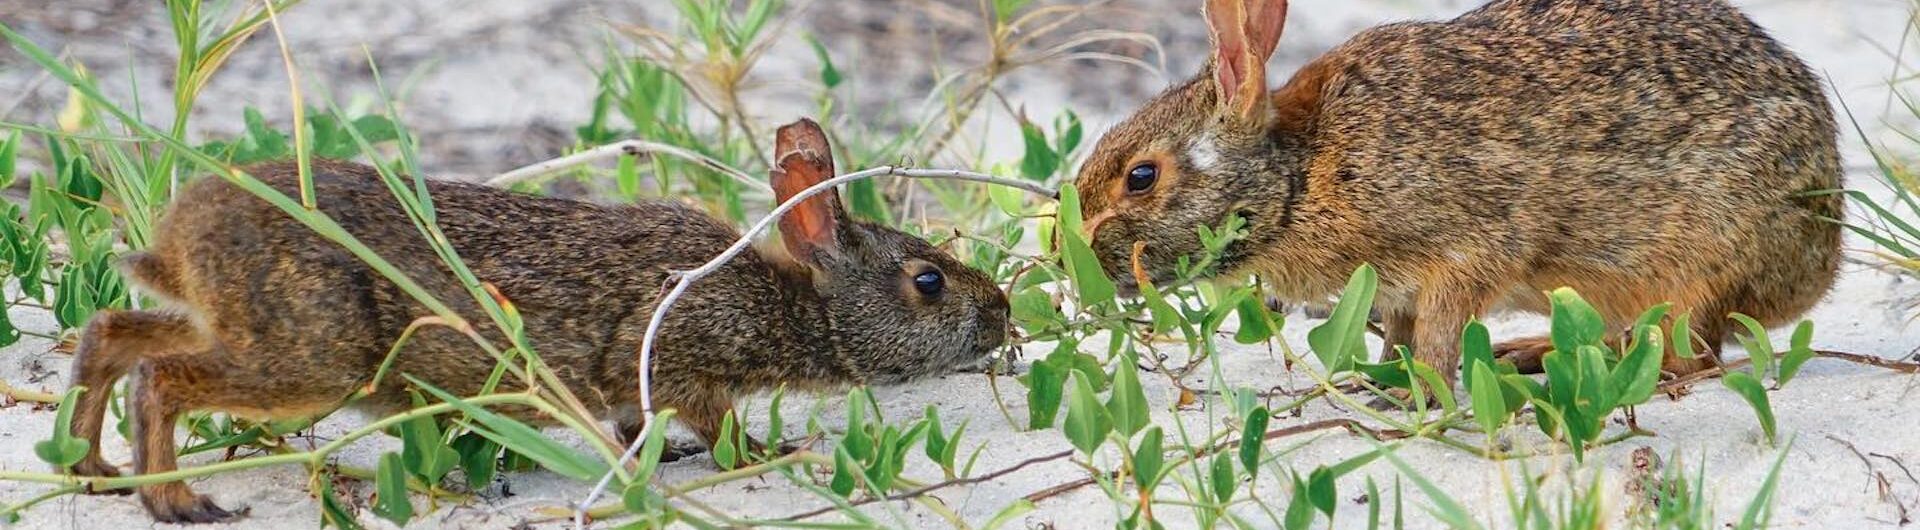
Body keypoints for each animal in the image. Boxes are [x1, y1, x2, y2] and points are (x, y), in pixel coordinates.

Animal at [60, 118, 1011, 523]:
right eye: (928, 282)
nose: (1001, 314)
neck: (790, 301)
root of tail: (182, 237)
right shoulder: (683, 361)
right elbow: (716, 429)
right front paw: (767, 456)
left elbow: (637, 429)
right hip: (310, 360)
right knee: (162, 380)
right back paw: (178, 503)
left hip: (239, 330)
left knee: (112, 333)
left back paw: (94, 469)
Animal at [1073, 0, 1842, 391]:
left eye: (1141, 177)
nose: (1081, 258)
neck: (1300, 177)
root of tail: (1820, 263)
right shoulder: (1393, 289)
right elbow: (1401, 334)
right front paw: (1382, 379)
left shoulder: (1466, 254)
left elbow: (1441, 336)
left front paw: (1417, 392)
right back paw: (1533, 351)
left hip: (1702, 262)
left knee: (1688, 355)